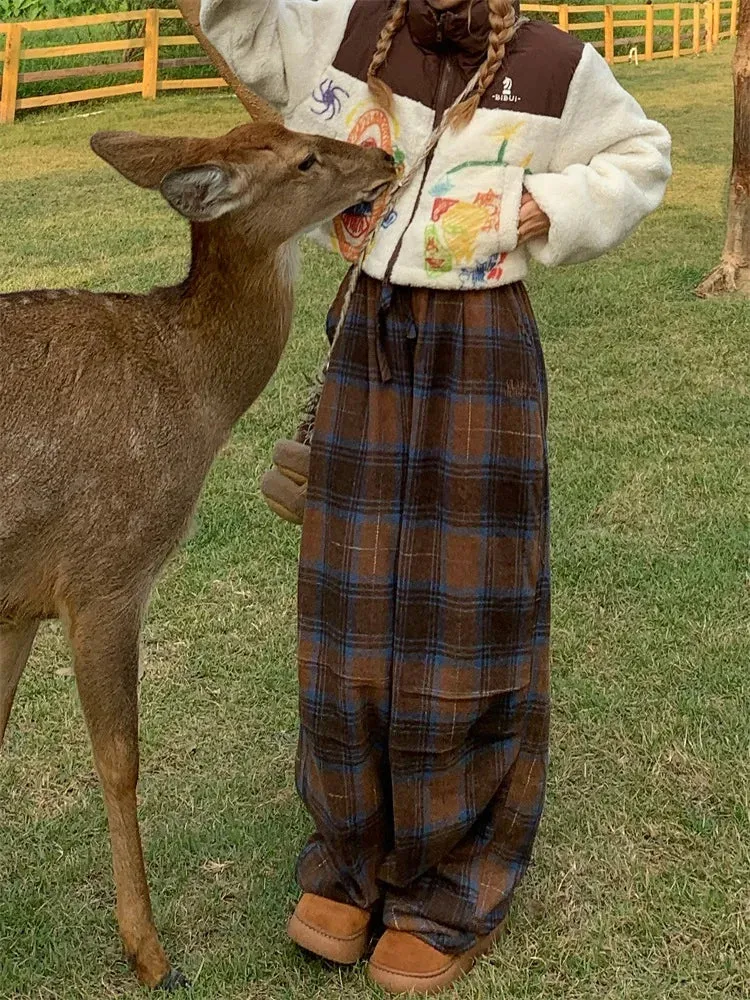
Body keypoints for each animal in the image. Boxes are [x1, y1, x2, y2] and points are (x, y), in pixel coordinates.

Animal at [0, 60, 400, 984]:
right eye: (303, 160)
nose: (388, 158)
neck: (189, 386)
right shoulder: (102, 572)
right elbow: (120, 761)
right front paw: (151, 953)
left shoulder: (19, 600)